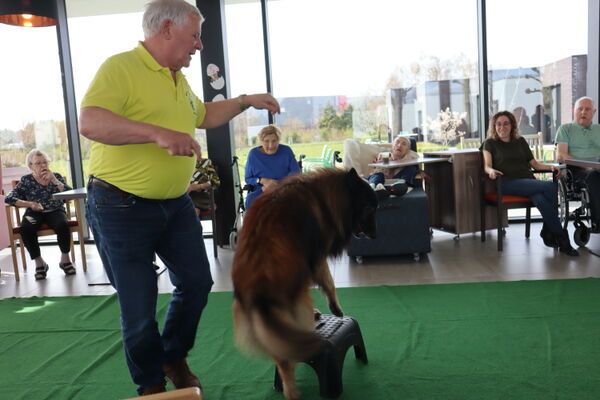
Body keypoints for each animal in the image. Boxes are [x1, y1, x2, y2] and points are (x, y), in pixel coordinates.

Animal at [232, 167, 378, 398]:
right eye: (369, 208)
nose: (375, 235)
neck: (322, 196)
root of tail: (256, 289)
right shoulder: (316, 258)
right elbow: (329, 282)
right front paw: (335, 309)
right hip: (297, 300)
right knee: (291, 352)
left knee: (282, 355)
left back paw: (288, 388)